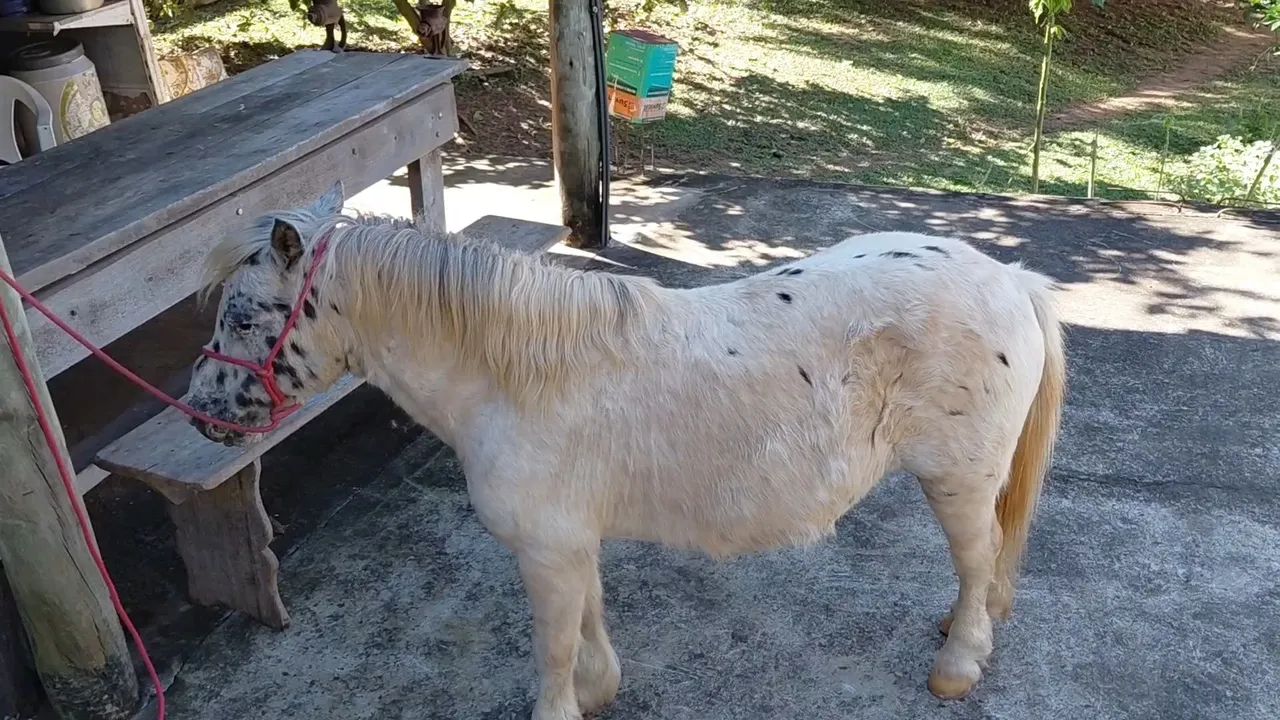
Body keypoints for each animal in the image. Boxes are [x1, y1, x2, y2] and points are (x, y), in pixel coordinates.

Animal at [186, 182, 1065, 720]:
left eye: (243, 314)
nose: (201, 413)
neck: (512, 377)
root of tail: (1014, 280)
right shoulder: (571, 543)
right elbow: (588, 618)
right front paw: (601, 688)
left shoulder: (545, 550)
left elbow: (551, 647)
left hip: (956, 479)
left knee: (979, 558)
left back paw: (958, 663)